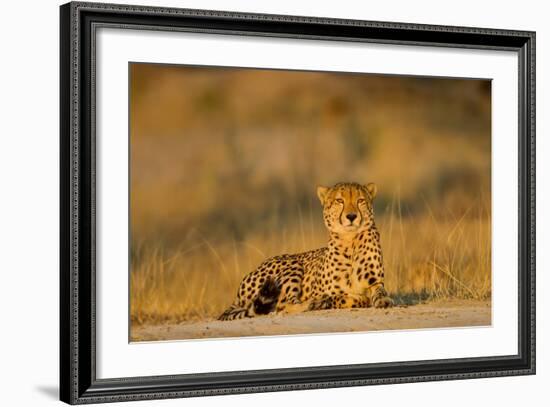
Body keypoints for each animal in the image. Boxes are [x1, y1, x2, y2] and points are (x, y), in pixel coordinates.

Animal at [218, 182, 394, 322]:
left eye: (360, 201)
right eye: (339, 201)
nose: (351, 216)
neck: (350, 241)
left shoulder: (376, 282)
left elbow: (378, 292)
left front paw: (383, 300)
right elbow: (347, 298)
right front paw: (325, 301)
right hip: (292, 265)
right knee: (284, 305)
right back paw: (313, 303)